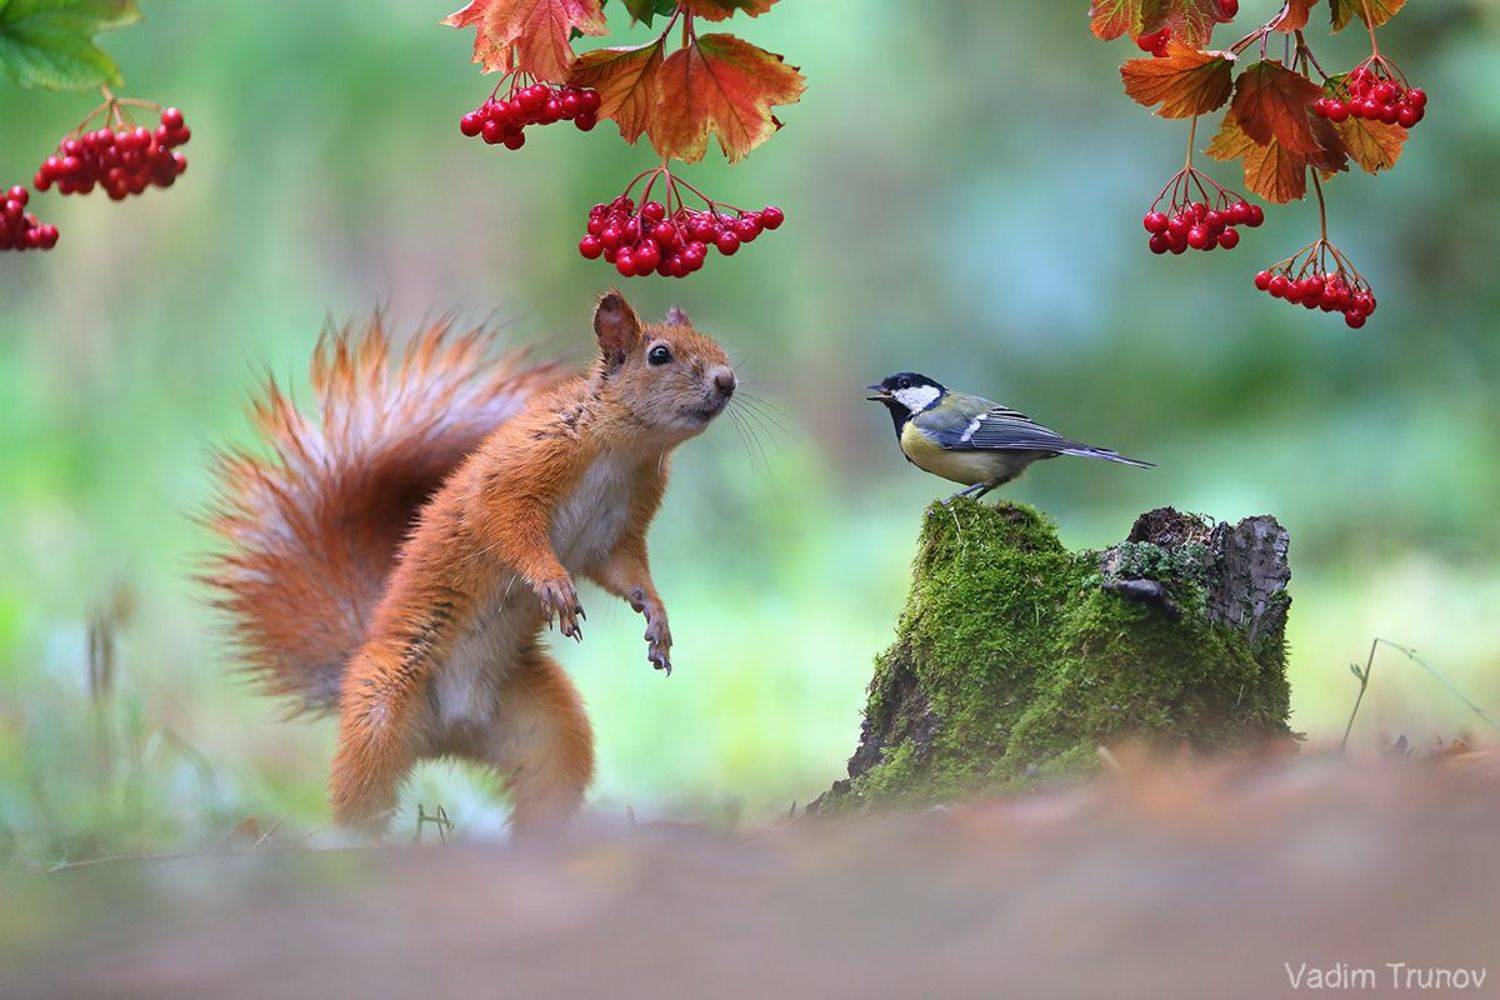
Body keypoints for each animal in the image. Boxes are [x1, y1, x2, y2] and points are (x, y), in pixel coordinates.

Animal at [205, 291, 737, 834]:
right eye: (659, 355)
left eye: (713, 342)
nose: (727, 380)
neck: (624, 450)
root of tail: (446, 734)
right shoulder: (520, 472)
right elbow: (505, 525)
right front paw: (552, 582)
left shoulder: (618, 533)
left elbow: (627, 574)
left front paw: (656, 617)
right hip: (380, 705)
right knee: (363, 796)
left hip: (545, 728)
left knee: (548, 782)